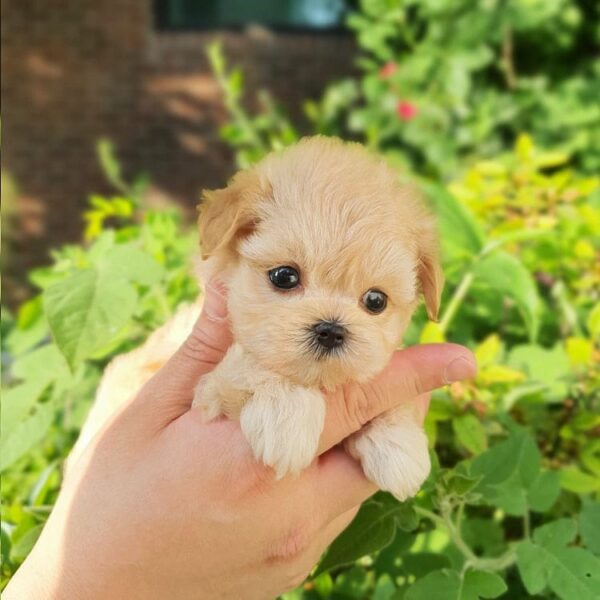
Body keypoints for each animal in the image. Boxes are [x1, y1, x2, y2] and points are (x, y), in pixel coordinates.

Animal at [192, 138, 440, 500]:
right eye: (285, 276)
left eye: (375, 300)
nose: (332, 330)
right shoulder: (204, 392)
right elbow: (246, 364)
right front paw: (287, 416)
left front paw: (398, 442)